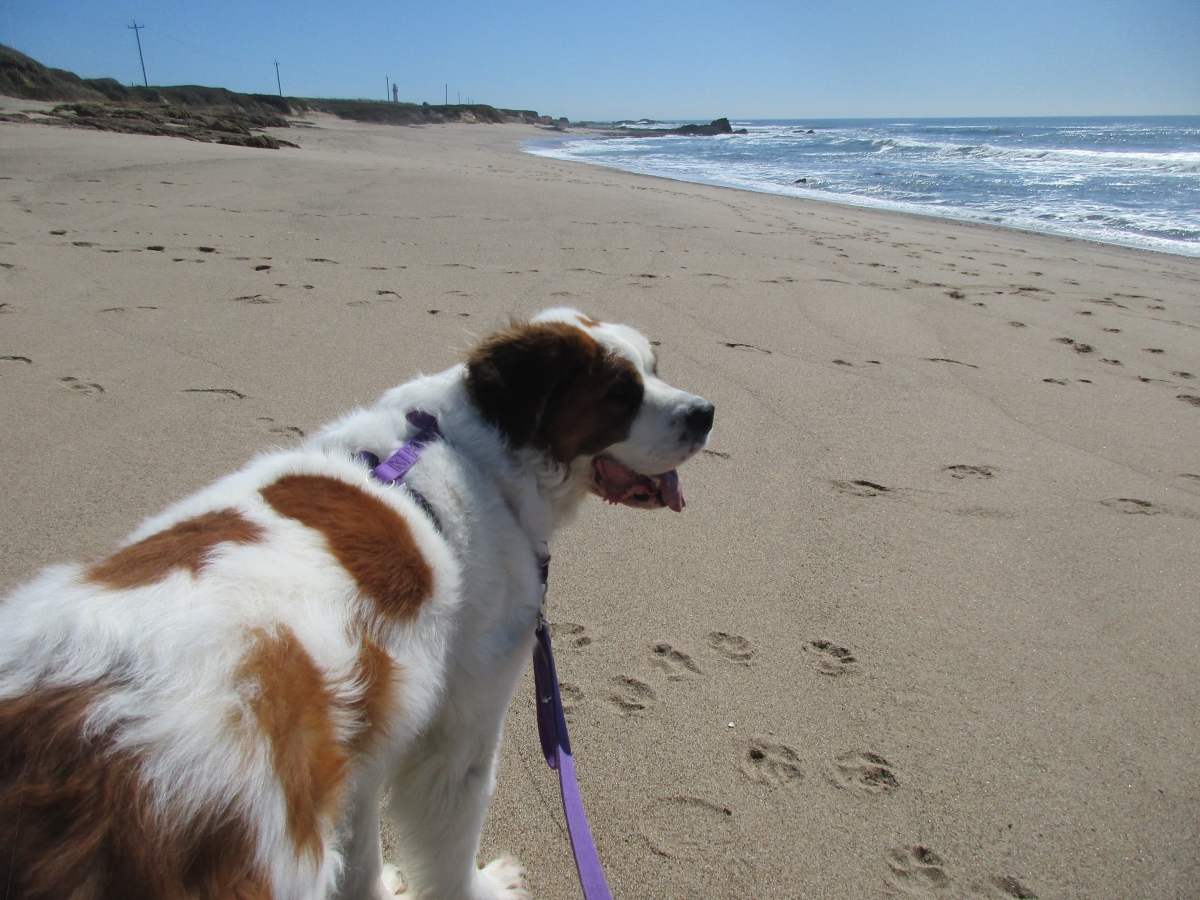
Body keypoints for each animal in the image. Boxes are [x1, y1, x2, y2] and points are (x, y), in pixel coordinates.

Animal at [0, 308, 714, 900]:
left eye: (654, 368)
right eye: (621, 393)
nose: (706, 412)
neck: (475, 452)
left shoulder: (369, 729)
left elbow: (361, 851)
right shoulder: (459, 729)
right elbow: (453, 849)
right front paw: (485, 889)